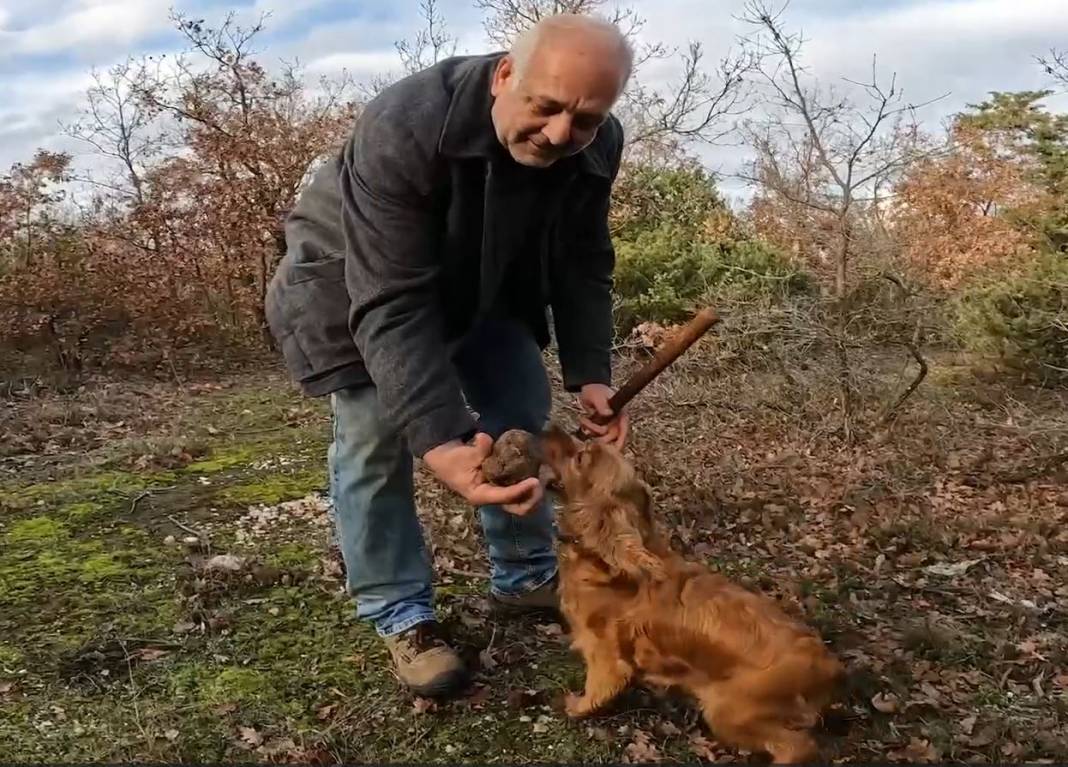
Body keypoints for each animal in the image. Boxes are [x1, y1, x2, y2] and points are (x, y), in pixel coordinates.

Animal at [542, 429, 841, 764]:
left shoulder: (604, 655)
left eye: (581, 457)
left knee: (798, 746)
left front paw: (574, 706)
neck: (606, 561)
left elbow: (596, 691)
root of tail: (828, 667)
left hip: (728, 710)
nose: (550, 427)